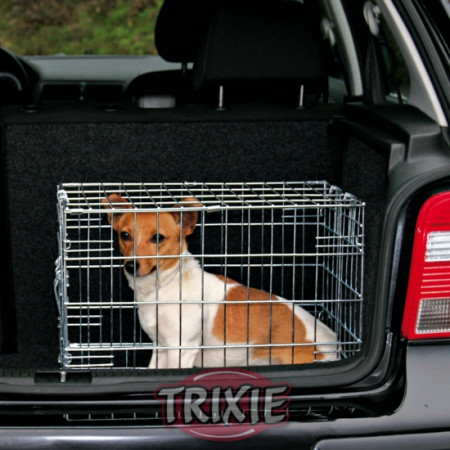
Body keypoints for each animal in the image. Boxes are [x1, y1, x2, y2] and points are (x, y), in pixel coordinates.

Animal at [103, 194, 338, 369]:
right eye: (124, 235)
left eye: (158, 238)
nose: (131, 266)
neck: (166, 287)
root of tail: (336, 344)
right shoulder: (160, 348)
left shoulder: (181, 349)